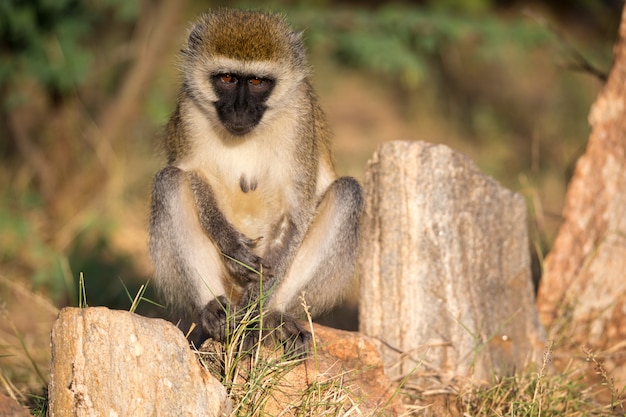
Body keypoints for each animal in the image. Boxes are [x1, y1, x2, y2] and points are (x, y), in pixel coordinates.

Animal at [148, 8, 360, 352]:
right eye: (227, 78)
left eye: (258, 81)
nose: (240, 108)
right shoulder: (189, 109)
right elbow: (189, 173)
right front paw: (232, 246)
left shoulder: (300, 116)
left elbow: (295, 214)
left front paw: (258, 305)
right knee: (169, 181)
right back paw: (215, 312)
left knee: (347, 192)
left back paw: (268, 316)